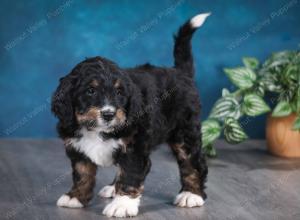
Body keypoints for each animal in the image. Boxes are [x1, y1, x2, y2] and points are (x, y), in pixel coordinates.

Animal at [51, 12, 210, 217]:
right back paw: (112, 188)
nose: (109, 114)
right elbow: (82, 173)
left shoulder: (135, 149)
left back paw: (191, 194)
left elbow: (130, 175)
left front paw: (122, 205)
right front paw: (75, 197)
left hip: (185, 132)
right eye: (90, 91)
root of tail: (181, 73)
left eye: (119, 93)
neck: (96, 130)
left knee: (193, 162)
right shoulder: (77, 148)